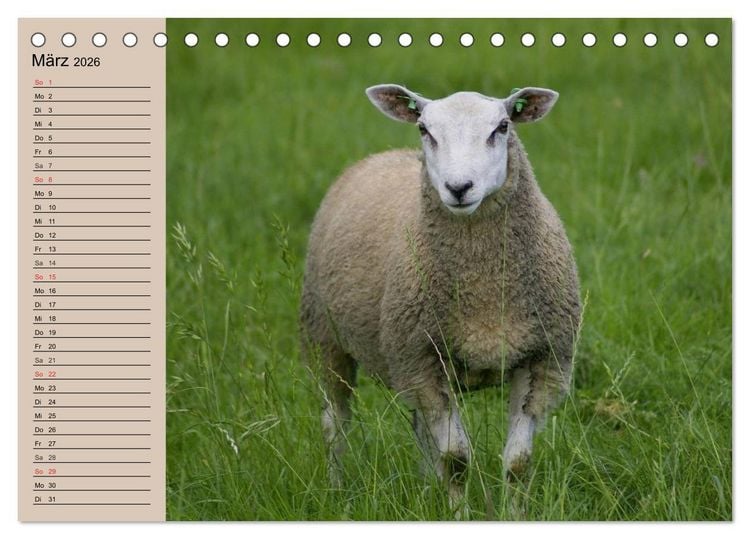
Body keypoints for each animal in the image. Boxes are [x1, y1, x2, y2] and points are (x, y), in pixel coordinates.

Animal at [299, 84, 581, 508]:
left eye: (502, 126)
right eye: (424, 129)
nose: (459, 188)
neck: (483, 284)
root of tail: (382, 155)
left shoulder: (543, 359)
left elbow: (518, 463)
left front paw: (513, 513)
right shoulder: (422, 360)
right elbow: (456, 459)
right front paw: (458, 512)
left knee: (418, 426)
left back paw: (423, 487)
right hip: (326, 338)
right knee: (335, 425)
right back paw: (337, 494)